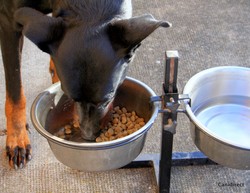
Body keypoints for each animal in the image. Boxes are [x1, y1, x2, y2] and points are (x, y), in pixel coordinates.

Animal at [0, 0, 171, 169]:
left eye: (106, 100)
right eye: (71, 98)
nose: (88, 137)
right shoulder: (9, 20)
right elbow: (15, 92)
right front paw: (17, 138)